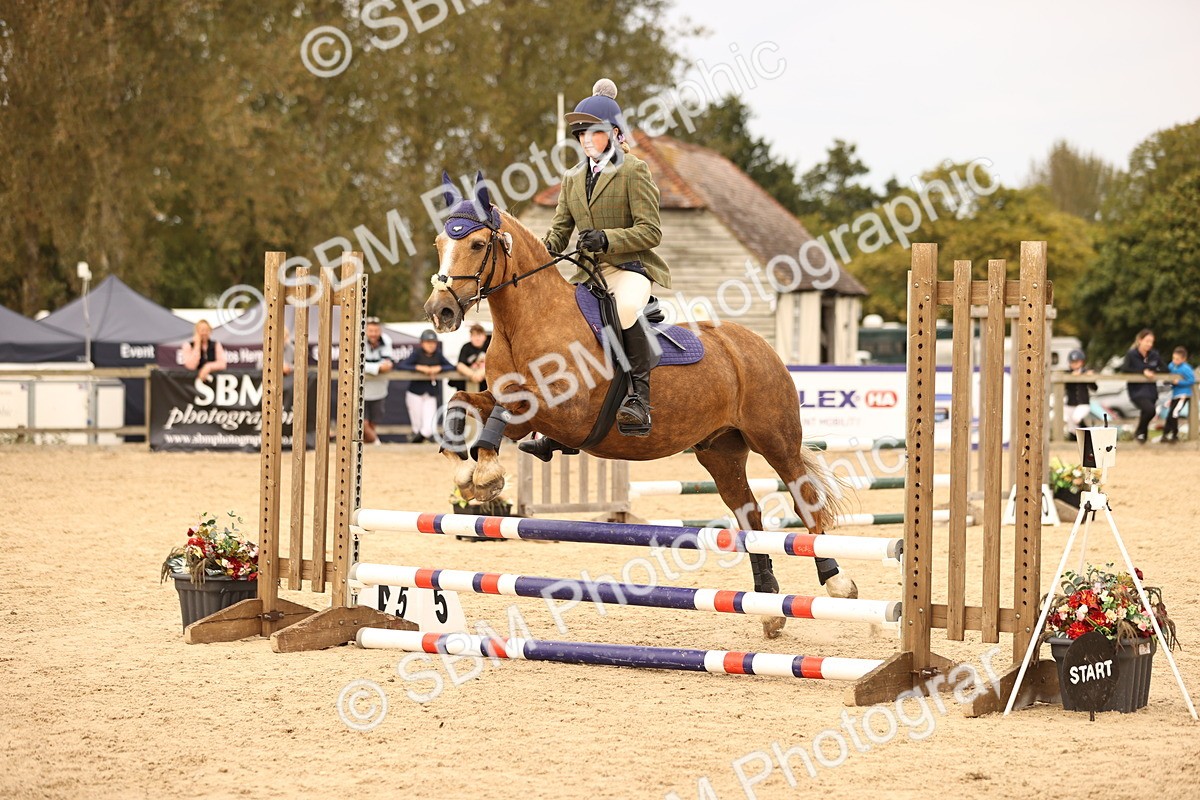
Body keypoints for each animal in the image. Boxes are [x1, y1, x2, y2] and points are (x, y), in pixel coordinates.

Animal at [423, 173, 856, 639]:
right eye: (439, 243)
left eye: (477, 244)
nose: (439, 311)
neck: (527, 322)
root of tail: (754, 343)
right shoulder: (515, 407)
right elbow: (462, 401)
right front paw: (464, 467)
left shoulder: (564, 414)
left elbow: (503, 414)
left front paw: (485, 474)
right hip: (721, 451)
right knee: (750, 513)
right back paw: (770, 610)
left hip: (774, 440)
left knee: (804, 499)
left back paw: (837, 583)